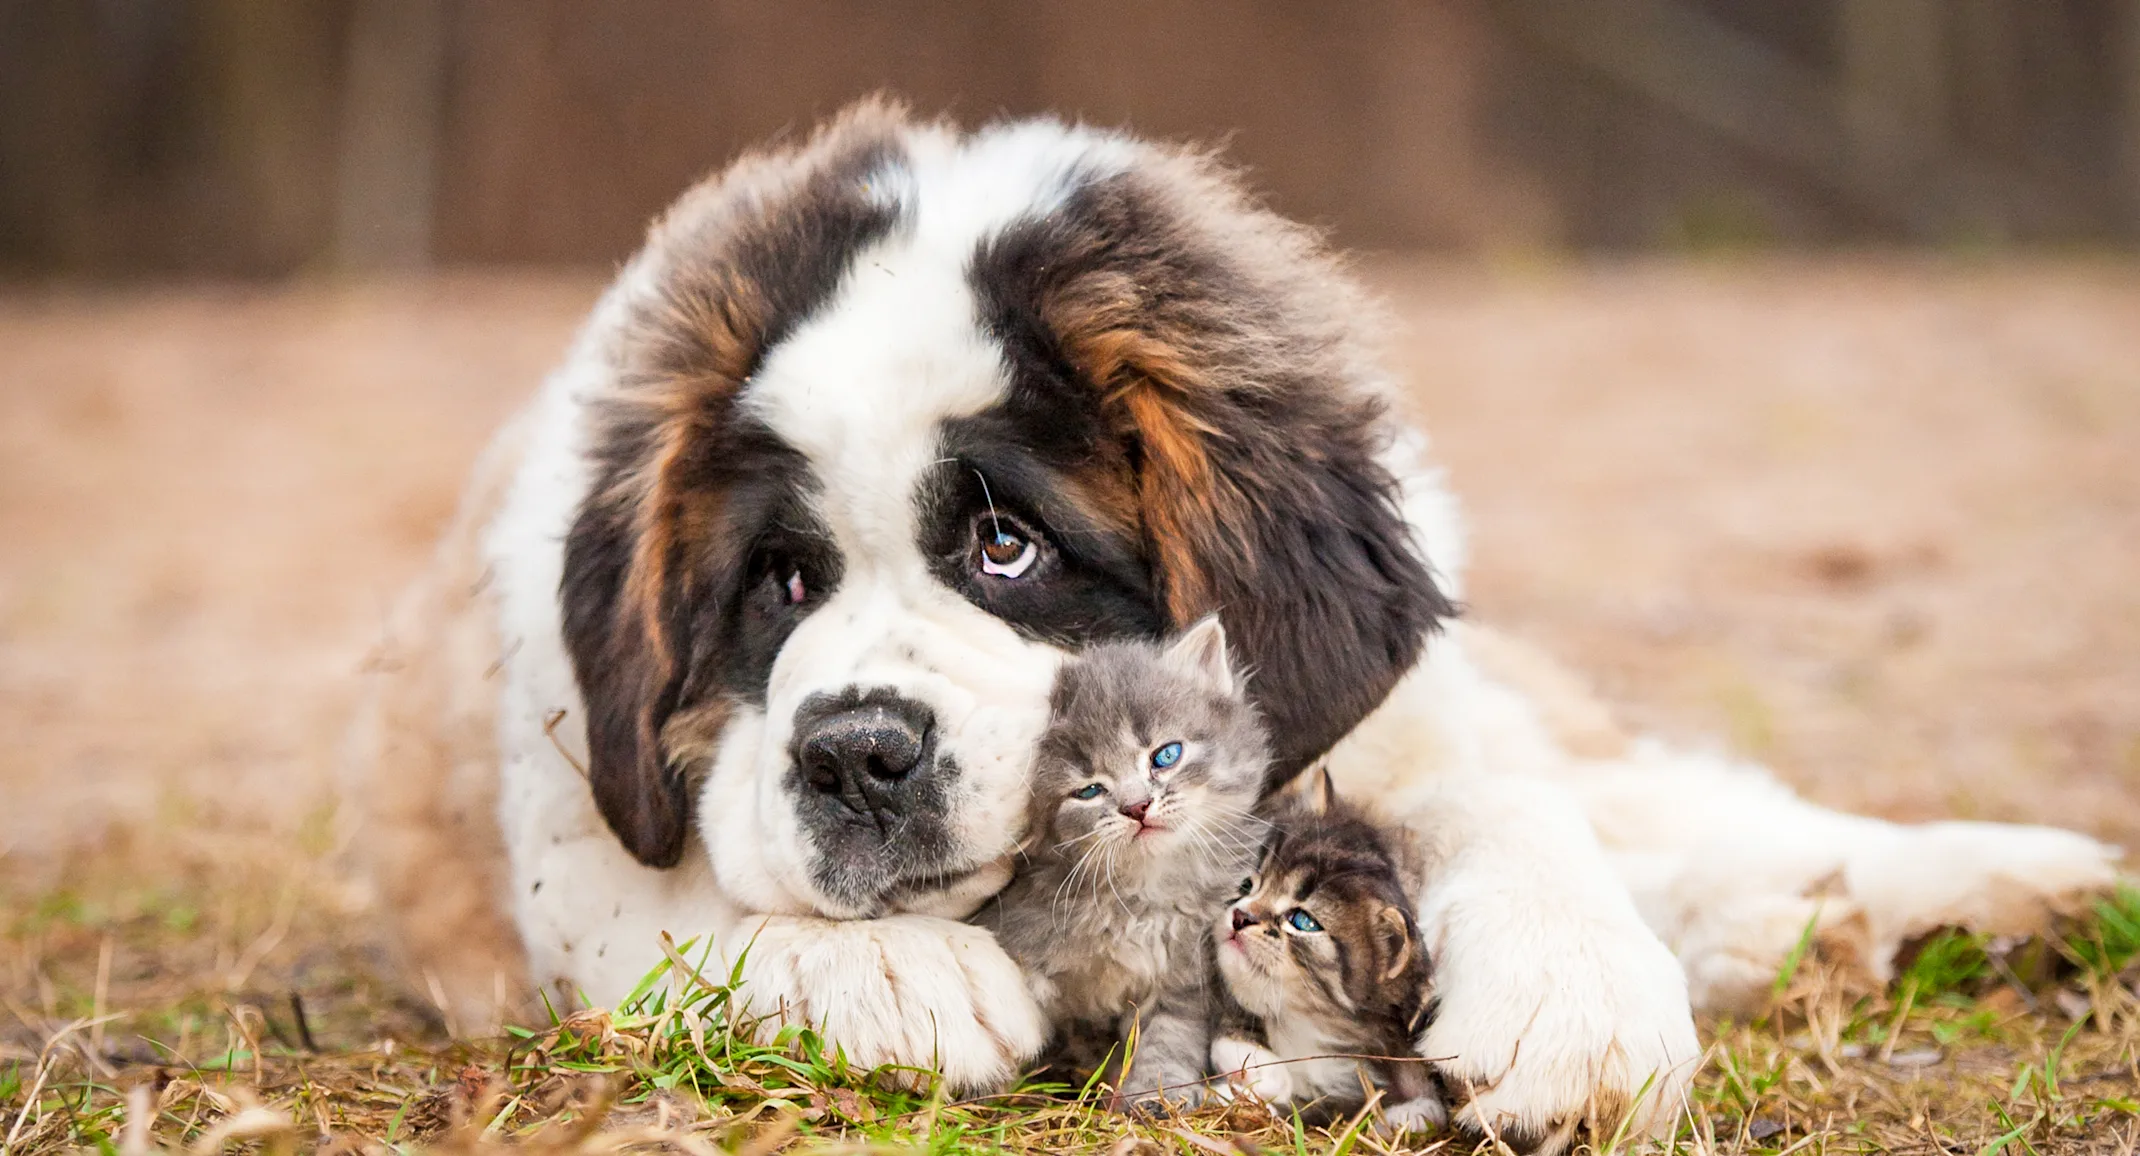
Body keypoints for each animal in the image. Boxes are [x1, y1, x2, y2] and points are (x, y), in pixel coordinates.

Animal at [980, 612, 1266, 1113]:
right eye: (1089, 790)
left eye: (1165, 755)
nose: (1136, 807)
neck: (1139, 900)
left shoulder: (1185, 975)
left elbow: (1169, 1037)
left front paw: (1155, 1095)